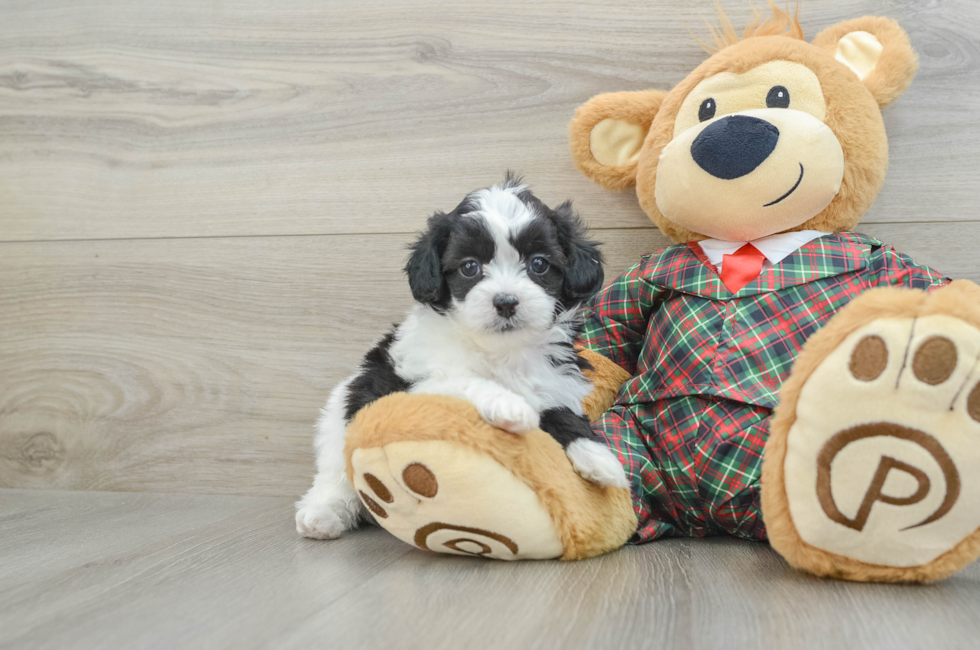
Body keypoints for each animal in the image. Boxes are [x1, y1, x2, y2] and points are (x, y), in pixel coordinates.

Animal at [294, 176, 628, 536]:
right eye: (470, 267)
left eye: (539, 263)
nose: (506, 301)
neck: (500, 350)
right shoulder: (414, 383)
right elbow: (465, 380)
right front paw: (508, 404)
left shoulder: (556, 384)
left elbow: (564, 415)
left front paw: (599, 457)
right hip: (339, 418)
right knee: (334, 475)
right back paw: (322, 514)